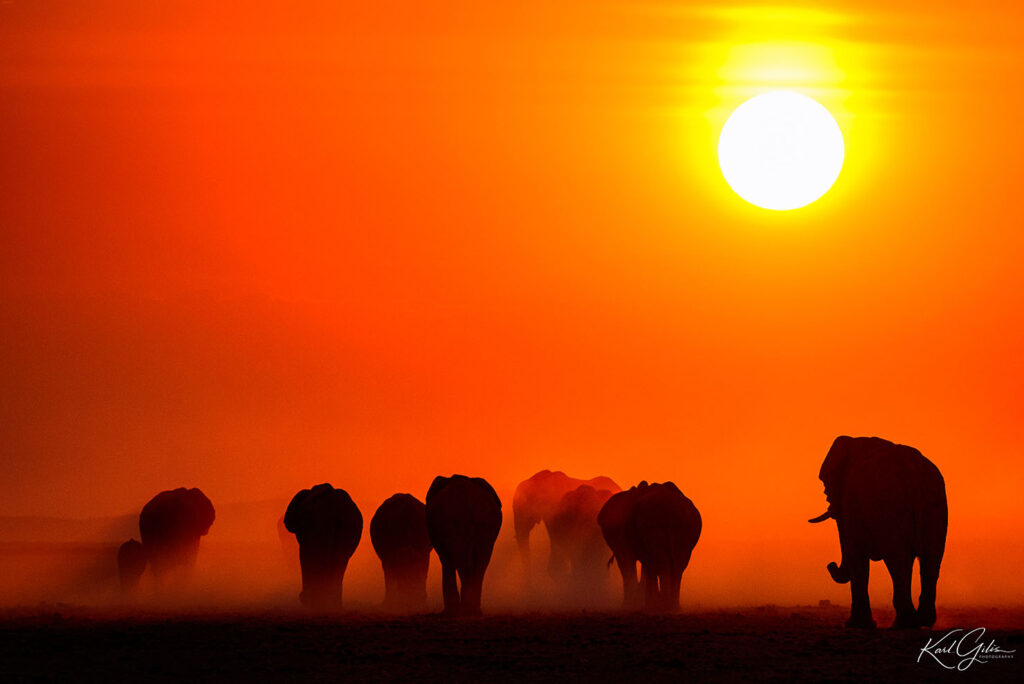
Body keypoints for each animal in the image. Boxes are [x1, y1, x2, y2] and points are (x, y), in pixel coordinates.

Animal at [425, 475, 501, 614]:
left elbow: (445, 559)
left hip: (456, 521)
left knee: (462, 560)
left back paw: (466, 609)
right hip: (486, 523)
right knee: (482, 562)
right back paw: (473, 610)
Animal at [811, 436, 946, 626]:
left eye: (826, 486)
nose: (830, 564)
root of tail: (914, 472)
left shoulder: (851, 498)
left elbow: (856, 553)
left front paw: (856, 625)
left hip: (889, 507)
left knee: (899, 560)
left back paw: (904, 624)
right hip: (936, 505)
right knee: (931, 558)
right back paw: (923, 621)